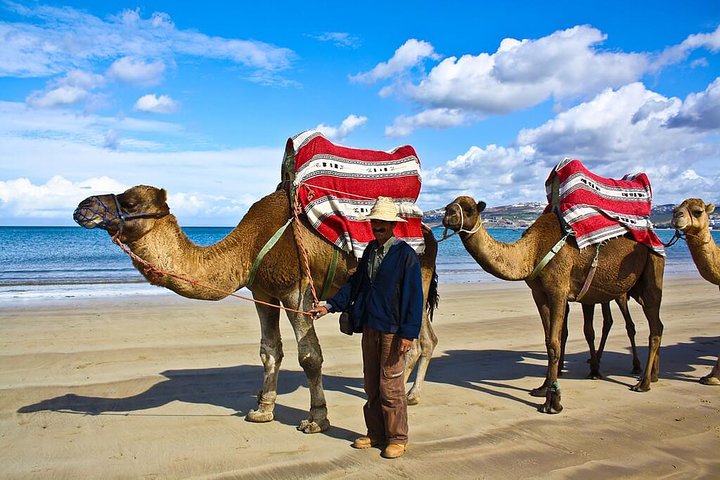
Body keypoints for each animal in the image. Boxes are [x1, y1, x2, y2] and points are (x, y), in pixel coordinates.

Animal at [73, 185, 439, 433]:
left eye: (129, 202)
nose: (82, 206)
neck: (248, 246)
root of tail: (430, 234)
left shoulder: (296, 290)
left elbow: (309, 356)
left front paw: (316, 419)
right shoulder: (263, 291)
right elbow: (269, 351)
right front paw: (262, 411)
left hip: (416, 278)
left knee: (414, 339)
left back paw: (407, 394)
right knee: (425, 338)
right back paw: (408, 393)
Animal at [442, 197, 664, 413]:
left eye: (469, 209)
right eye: (448, 206)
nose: (448, 216)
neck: (532, 252)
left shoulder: (558, 290)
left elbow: (555, 343)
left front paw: (552, 401)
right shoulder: (539, 294)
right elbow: (550, 338)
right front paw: (542, 388)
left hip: (651, 274)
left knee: (652, 327)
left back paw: (642, 382)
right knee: (655, 325)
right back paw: (651, 375)